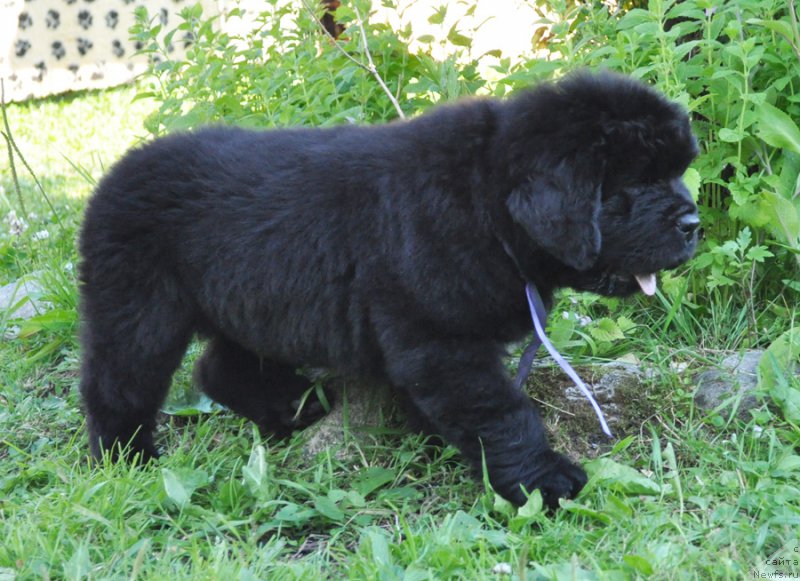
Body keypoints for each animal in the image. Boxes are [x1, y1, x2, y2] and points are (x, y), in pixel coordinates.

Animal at [78, 71, 696, 508]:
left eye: (675, 172)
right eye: (636, 183)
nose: (694, 224)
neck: (486, 204)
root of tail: (115, 172)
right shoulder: (442, 338)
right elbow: (501, 411)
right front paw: (544, 481)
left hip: (253, 297)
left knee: (219, 367)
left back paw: (294, 407)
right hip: (138, 306)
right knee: (117, 383)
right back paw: (127, 459)